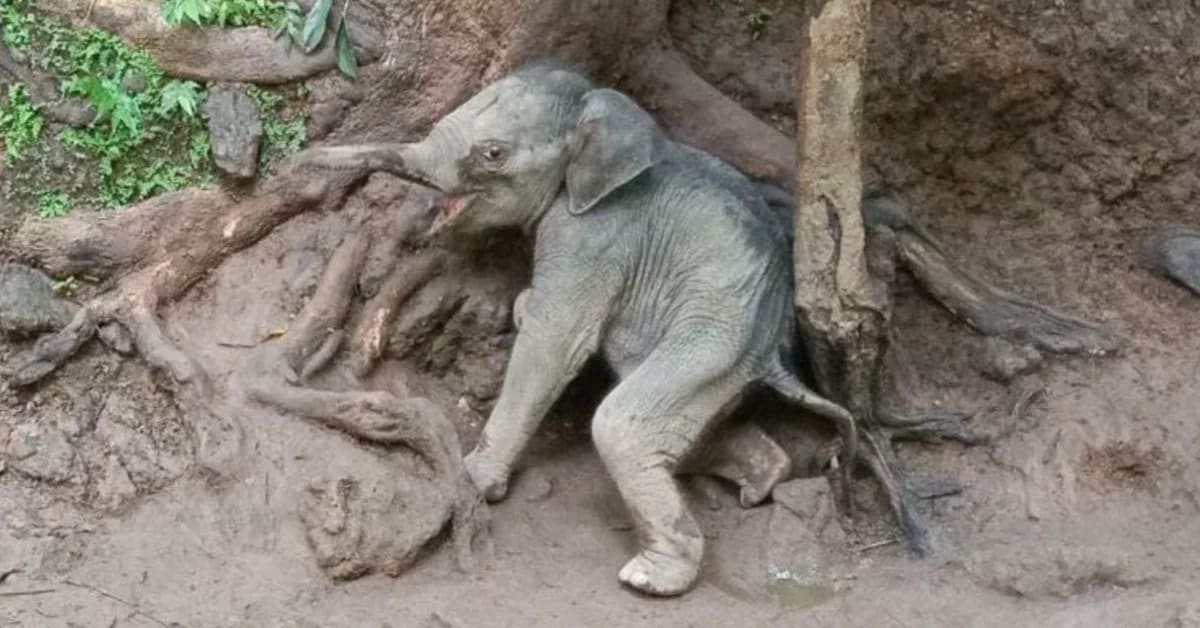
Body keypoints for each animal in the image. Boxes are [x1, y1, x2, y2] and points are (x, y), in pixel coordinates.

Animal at [303, 61, 857, 596]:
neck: (599, 116)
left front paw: (474, 480)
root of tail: (775, 350)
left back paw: (650, 579)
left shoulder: (592, 235)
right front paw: (521, 307)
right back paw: (760, 480)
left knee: (621, 425)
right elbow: (540, 318)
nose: (301, 159)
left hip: (716, 335)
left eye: (493, 154)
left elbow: (553, 341)